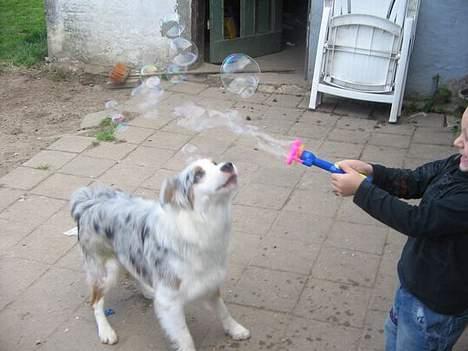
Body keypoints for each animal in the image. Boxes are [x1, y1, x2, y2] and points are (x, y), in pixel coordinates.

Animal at [70, 160, 250, 351]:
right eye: (197, 175)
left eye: (215, 163)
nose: (228, 165)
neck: (200, 223)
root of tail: (88, 202)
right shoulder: (169, 301)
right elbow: (185, 337)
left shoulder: (209, 280)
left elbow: (223, 311)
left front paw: (236, 329)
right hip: (106, 270)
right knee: (95, 301)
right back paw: (105, 331)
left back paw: (147, 290)